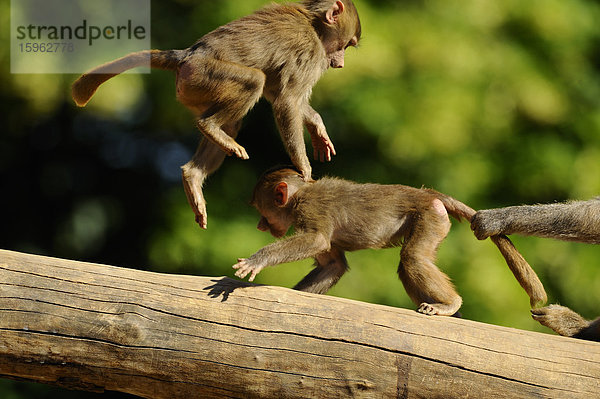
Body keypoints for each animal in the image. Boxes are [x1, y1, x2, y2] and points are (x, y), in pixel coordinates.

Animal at [70, 0, 360, 230]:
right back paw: (209, 127)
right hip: (203, 75)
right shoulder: (312, 52)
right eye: (347, 45)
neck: (313, 22)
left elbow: (277, 93)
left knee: (233, 120)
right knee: (253, 81)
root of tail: (187, 55)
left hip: (194, 90)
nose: (340, 63)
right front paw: (304, 168)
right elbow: (286, 100)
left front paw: (317, 127)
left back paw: (193, 176)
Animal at [232, 168, 548, 316]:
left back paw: (449, 304)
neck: (300, 194)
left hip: (429, 216)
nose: (260, 225)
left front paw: (256, 260)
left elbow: (317, 240)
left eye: (262, 212)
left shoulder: (310, 209)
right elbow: (333, 265)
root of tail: (427, 193)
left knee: (413, 258)